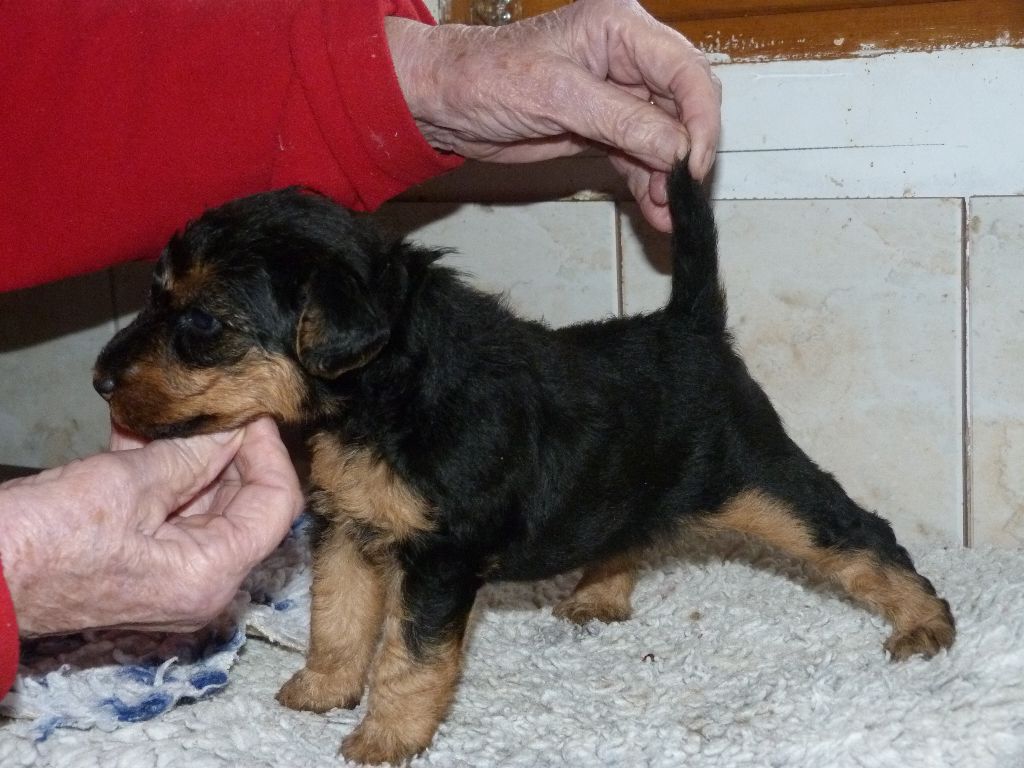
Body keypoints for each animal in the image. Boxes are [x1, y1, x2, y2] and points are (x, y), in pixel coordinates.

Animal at [92, 165, 954, 765]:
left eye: (202, 323)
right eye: (155, 295)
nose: (100, 379)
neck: (386, 391)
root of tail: (691, 325)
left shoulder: (440, 560)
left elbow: (409, 655)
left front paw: (385, 737)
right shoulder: (350, 530)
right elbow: (337, 619)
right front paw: (322, 689)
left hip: (761, 481)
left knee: (859, 534)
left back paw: (925, 623)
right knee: (628, 529)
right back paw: (599, 595)